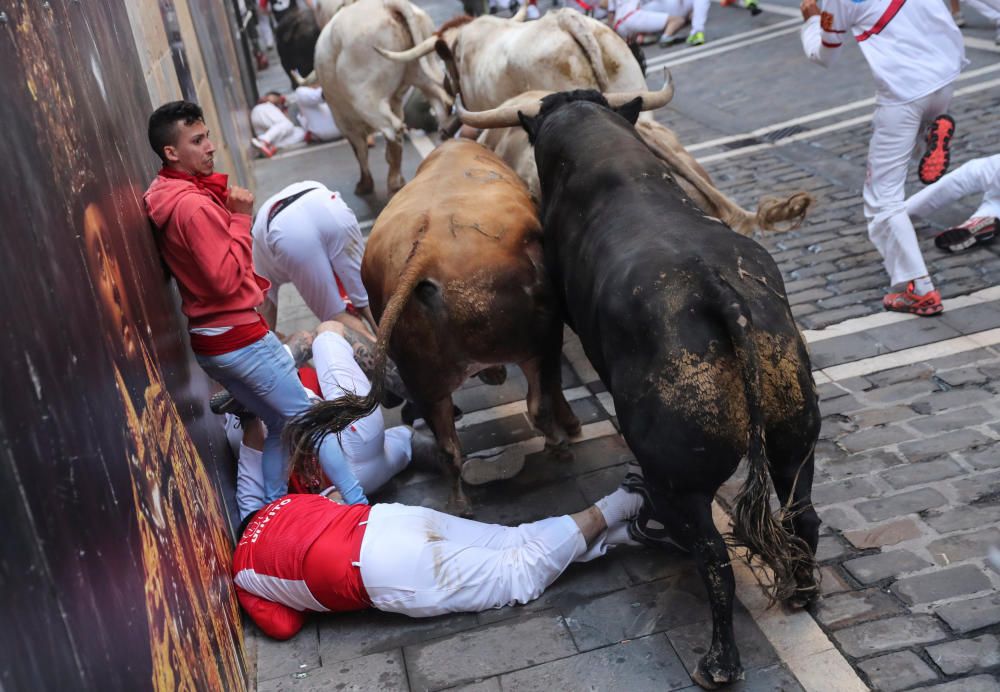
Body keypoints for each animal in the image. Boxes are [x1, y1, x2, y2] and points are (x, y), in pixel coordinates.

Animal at [286, 139, 580, 512]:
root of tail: (427, 251)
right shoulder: (547, 336)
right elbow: (552, 387)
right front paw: (570, 425)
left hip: (425, 382)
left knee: (448, 447)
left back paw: (460, 503)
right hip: (532, 343)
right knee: (537, 404)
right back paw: (558, 444)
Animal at [524, 90, 820, 688]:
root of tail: (718, 294)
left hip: (677, 482)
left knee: (713, 557)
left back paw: (719, 662)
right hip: (793, 436)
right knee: (802, 514)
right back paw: (803, 592)